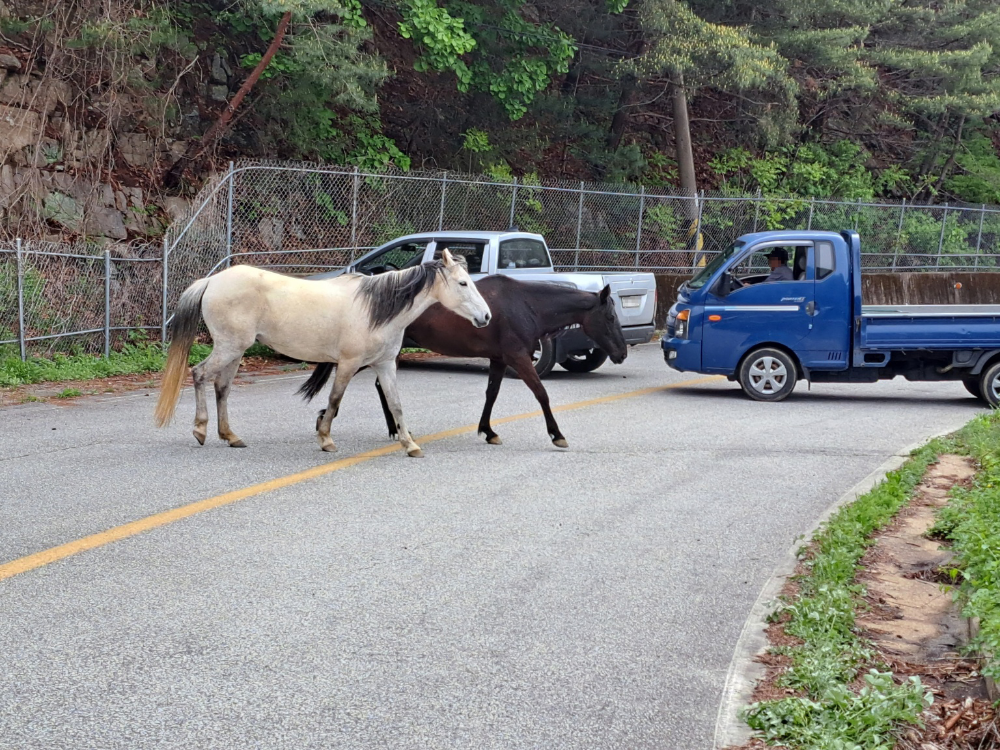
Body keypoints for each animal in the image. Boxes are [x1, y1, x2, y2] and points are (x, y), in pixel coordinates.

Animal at [153, 251, 492, 458]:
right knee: (199, 374)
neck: (376, 309)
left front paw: (410, 445)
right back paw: (200, 430)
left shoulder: (384, 366)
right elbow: (334, 400)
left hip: (235, 351)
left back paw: (230, 436)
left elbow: (396, 405)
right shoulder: (348, 364)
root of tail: (212, 280)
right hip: (228, 348)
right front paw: (326, 439)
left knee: (221, 387)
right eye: (463, 283)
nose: (486, 317)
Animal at [296, 278, 624, 450]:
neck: (526, 305)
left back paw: (394, 429)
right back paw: (327, 419)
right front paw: (557, 435)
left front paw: (488, 431)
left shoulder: (499, 359)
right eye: (610, 317)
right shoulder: (518, 358)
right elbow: (541, 394)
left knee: (379, 384)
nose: (621, 353)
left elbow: (491, 394)